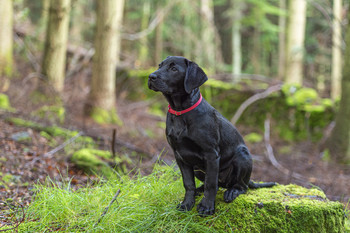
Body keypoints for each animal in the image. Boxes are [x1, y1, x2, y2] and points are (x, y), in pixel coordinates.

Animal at [148, 55, 274, 216]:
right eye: (160, 65)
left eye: (174, 69)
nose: (151, 76)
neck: (181, 112)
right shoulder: (180, 155)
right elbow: (188, 184)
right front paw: (187, 204)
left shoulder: (211, 154)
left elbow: (211, 184)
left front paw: (207, 207)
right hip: (198, 169)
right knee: (216, 184)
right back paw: (199, 191)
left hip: (242, 155)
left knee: (240, 186)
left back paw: (232, 191)